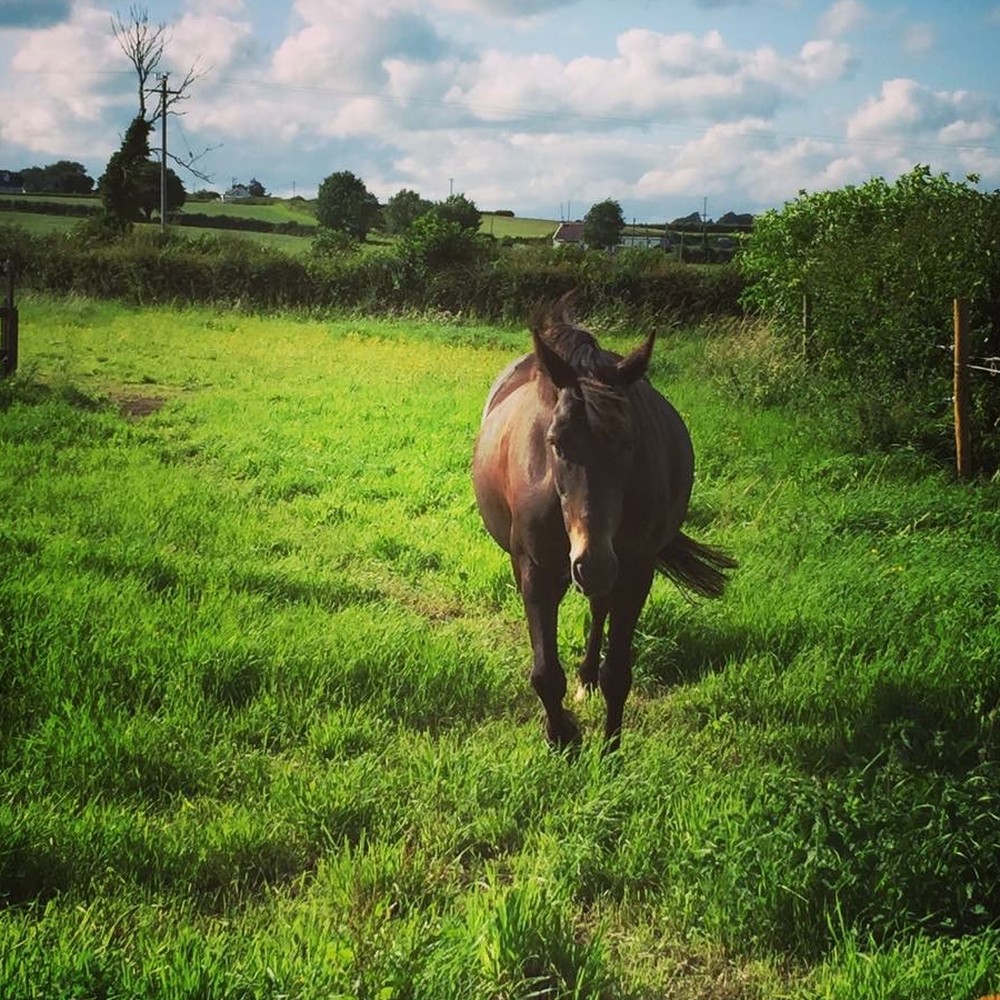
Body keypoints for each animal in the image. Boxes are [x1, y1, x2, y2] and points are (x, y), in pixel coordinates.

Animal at [472, 297, 735, 751]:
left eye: (629, 442)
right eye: (556, 441)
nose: (591, 563)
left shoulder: (633, 572)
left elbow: (618, 674)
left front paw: (610, 748)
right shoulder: (535, 568)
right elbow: (545, 672)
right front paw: (562, 738)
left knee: (599, 609)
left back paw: (587, 678)